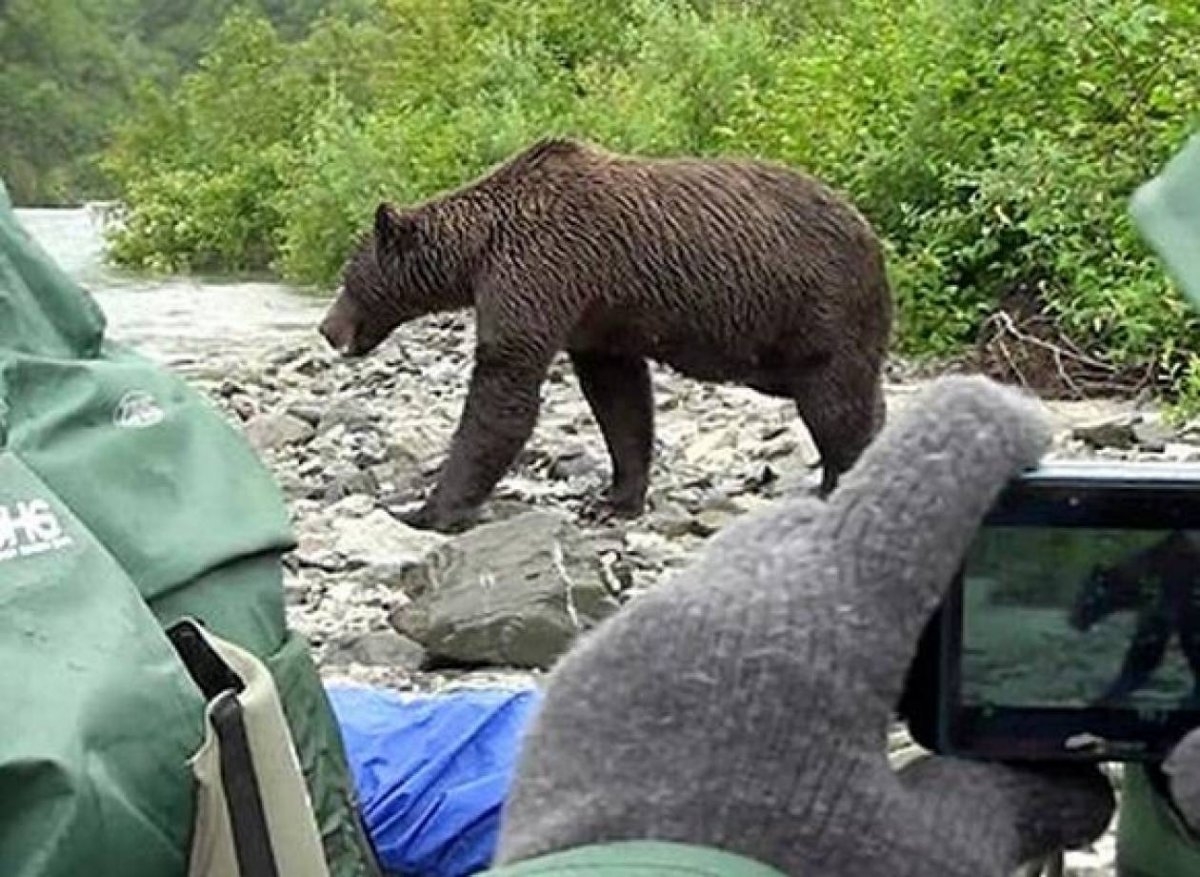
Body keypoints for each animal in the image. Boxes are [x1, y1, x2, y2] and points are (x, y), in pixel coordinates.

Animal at [316, 139, 892, 535]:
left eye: (349, 277)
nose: (326, 328)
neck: (479, 250)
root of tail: (871, 232)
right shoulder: (598, 316)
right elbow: (619, 399)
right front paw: (613, 499)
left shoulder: (540, 270)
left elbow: (503, 387)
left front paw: (428, 508)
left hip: (819, 306)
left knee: (834, 399)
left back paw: (840, 482)